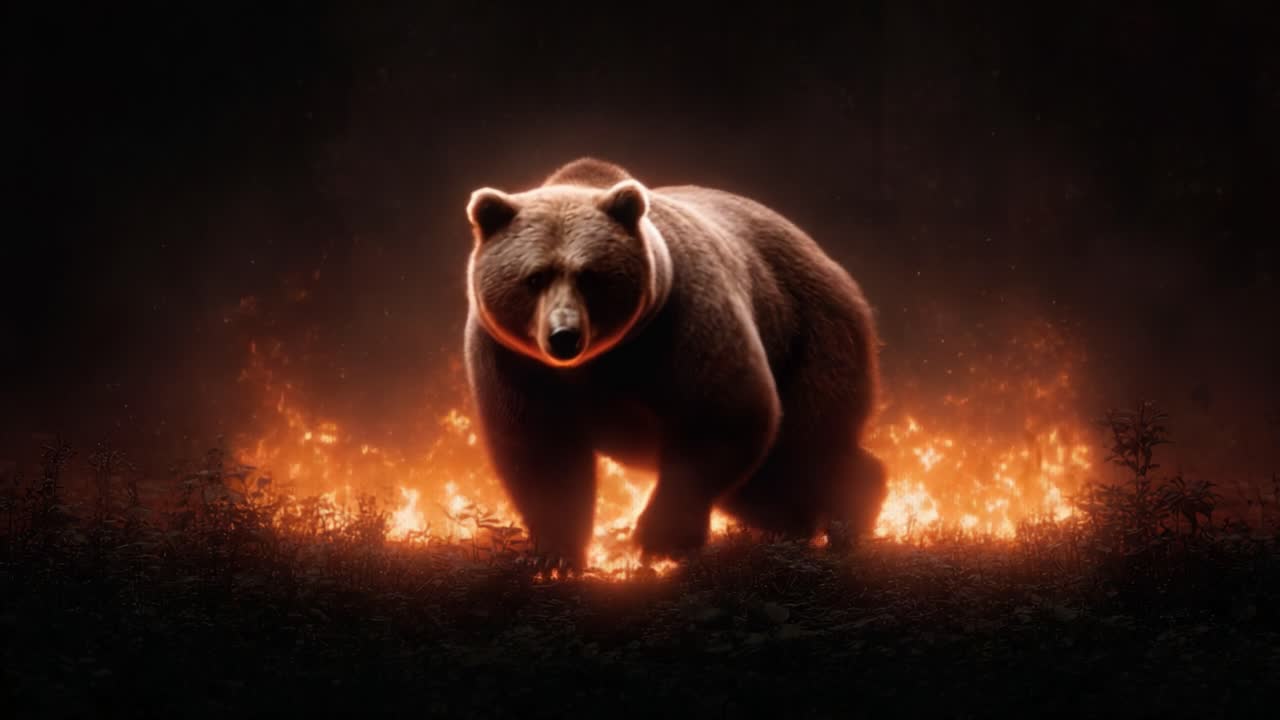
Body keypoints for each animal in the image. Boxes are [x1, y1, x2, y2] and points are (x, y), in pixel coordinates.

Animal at [463, 157, 887, 570]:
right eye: (535, 277)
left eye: (589, 277)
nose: (564, 335)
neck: (602, 359)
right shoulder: (516, 361)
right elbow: (541, 451)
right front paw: (556, 555)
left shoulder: (682, 325)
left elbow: (721, 413)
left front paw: (659, 539)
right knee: (769, 481)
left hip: (810, 335)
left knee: (805, 448)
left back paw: (847, 519)